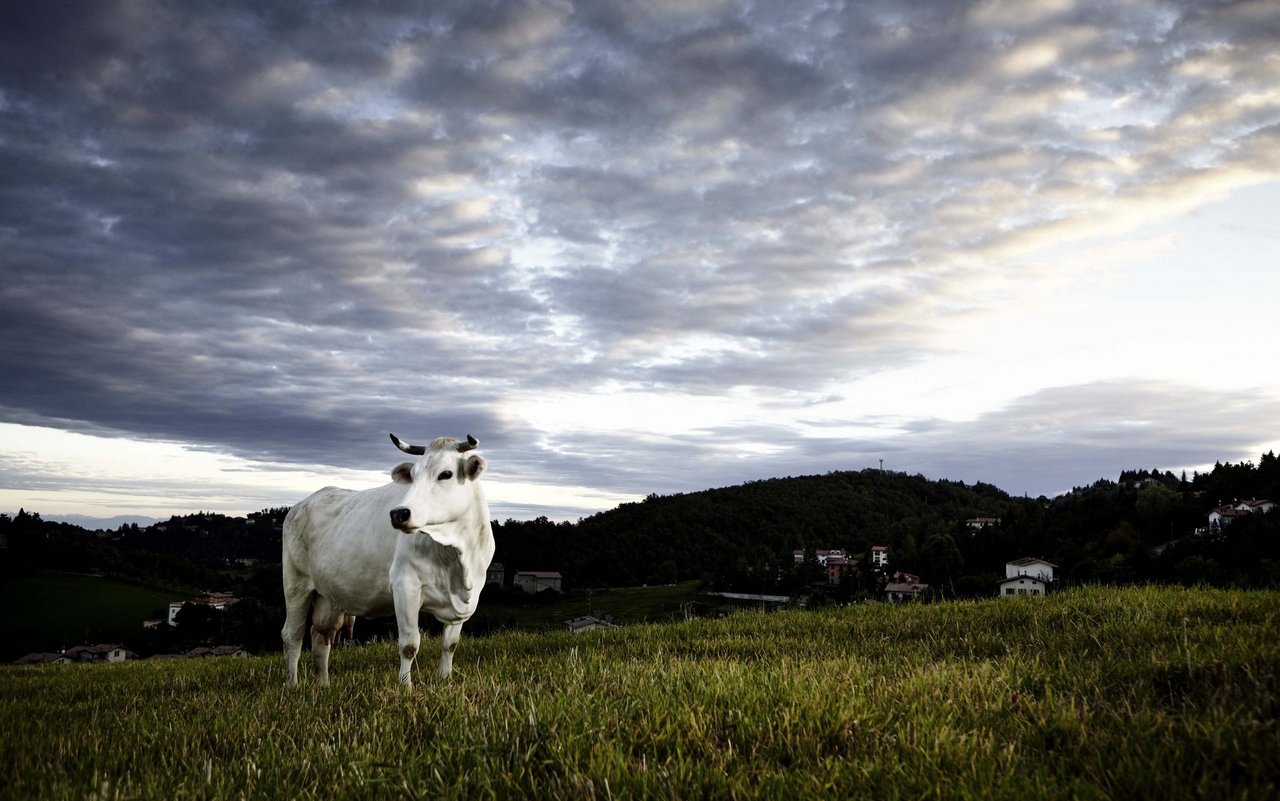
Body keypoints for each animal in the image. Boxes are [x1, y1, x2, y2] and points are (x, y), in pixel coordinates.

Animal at [280, 432, 494, 680]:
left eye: (446, 474)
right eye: (413, 475)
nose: (399, 513)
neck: (458, 559)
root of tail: (301, 504)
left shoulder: (468, 596)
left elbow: (450, 644)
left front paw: (445, 679)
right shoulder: (405, 587)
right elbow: (409, 645)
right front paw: (405, 685)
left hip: (328, 593)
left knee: (319, 638)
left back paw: (323, 684)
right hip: (296, 585)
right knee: (293, 635)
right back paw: (293, 683)